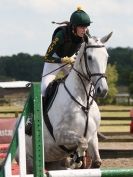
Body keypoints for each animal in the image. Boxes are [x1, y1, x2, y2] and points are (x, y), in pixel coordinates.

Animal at [16, 32, 112, 173]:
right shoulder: (60, 135)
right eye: (89, 57)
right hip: (28, 161)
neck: (83, 101)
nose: (102, 90)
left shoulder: (93, 136)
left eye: (106, 57)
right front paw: (75, 161)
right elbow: (82, 142)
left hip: (53, 162)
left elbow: (96, 162)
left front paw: (79, 160)